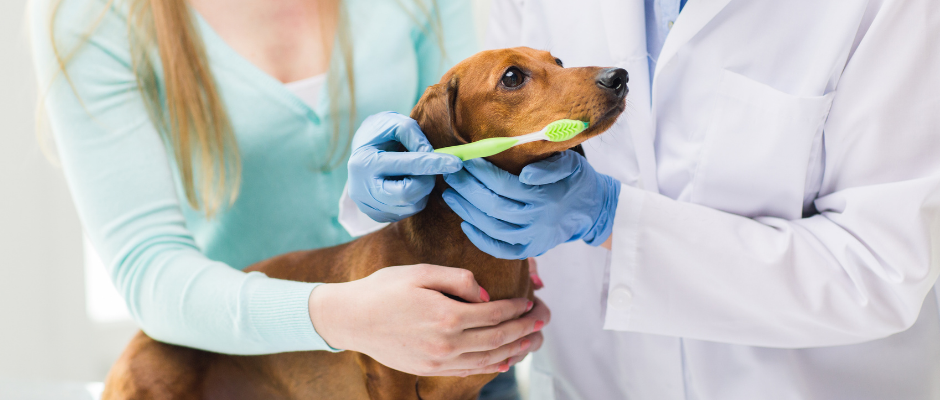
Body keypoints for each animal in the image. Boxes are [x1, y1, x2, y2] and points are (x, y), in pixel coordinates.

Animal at [103, 47, 628, 400]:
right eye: (513, 77)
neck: (467, 256)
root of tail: (140, 337)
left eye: (558, 60)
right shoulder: (389, 376)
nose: (619, 75)